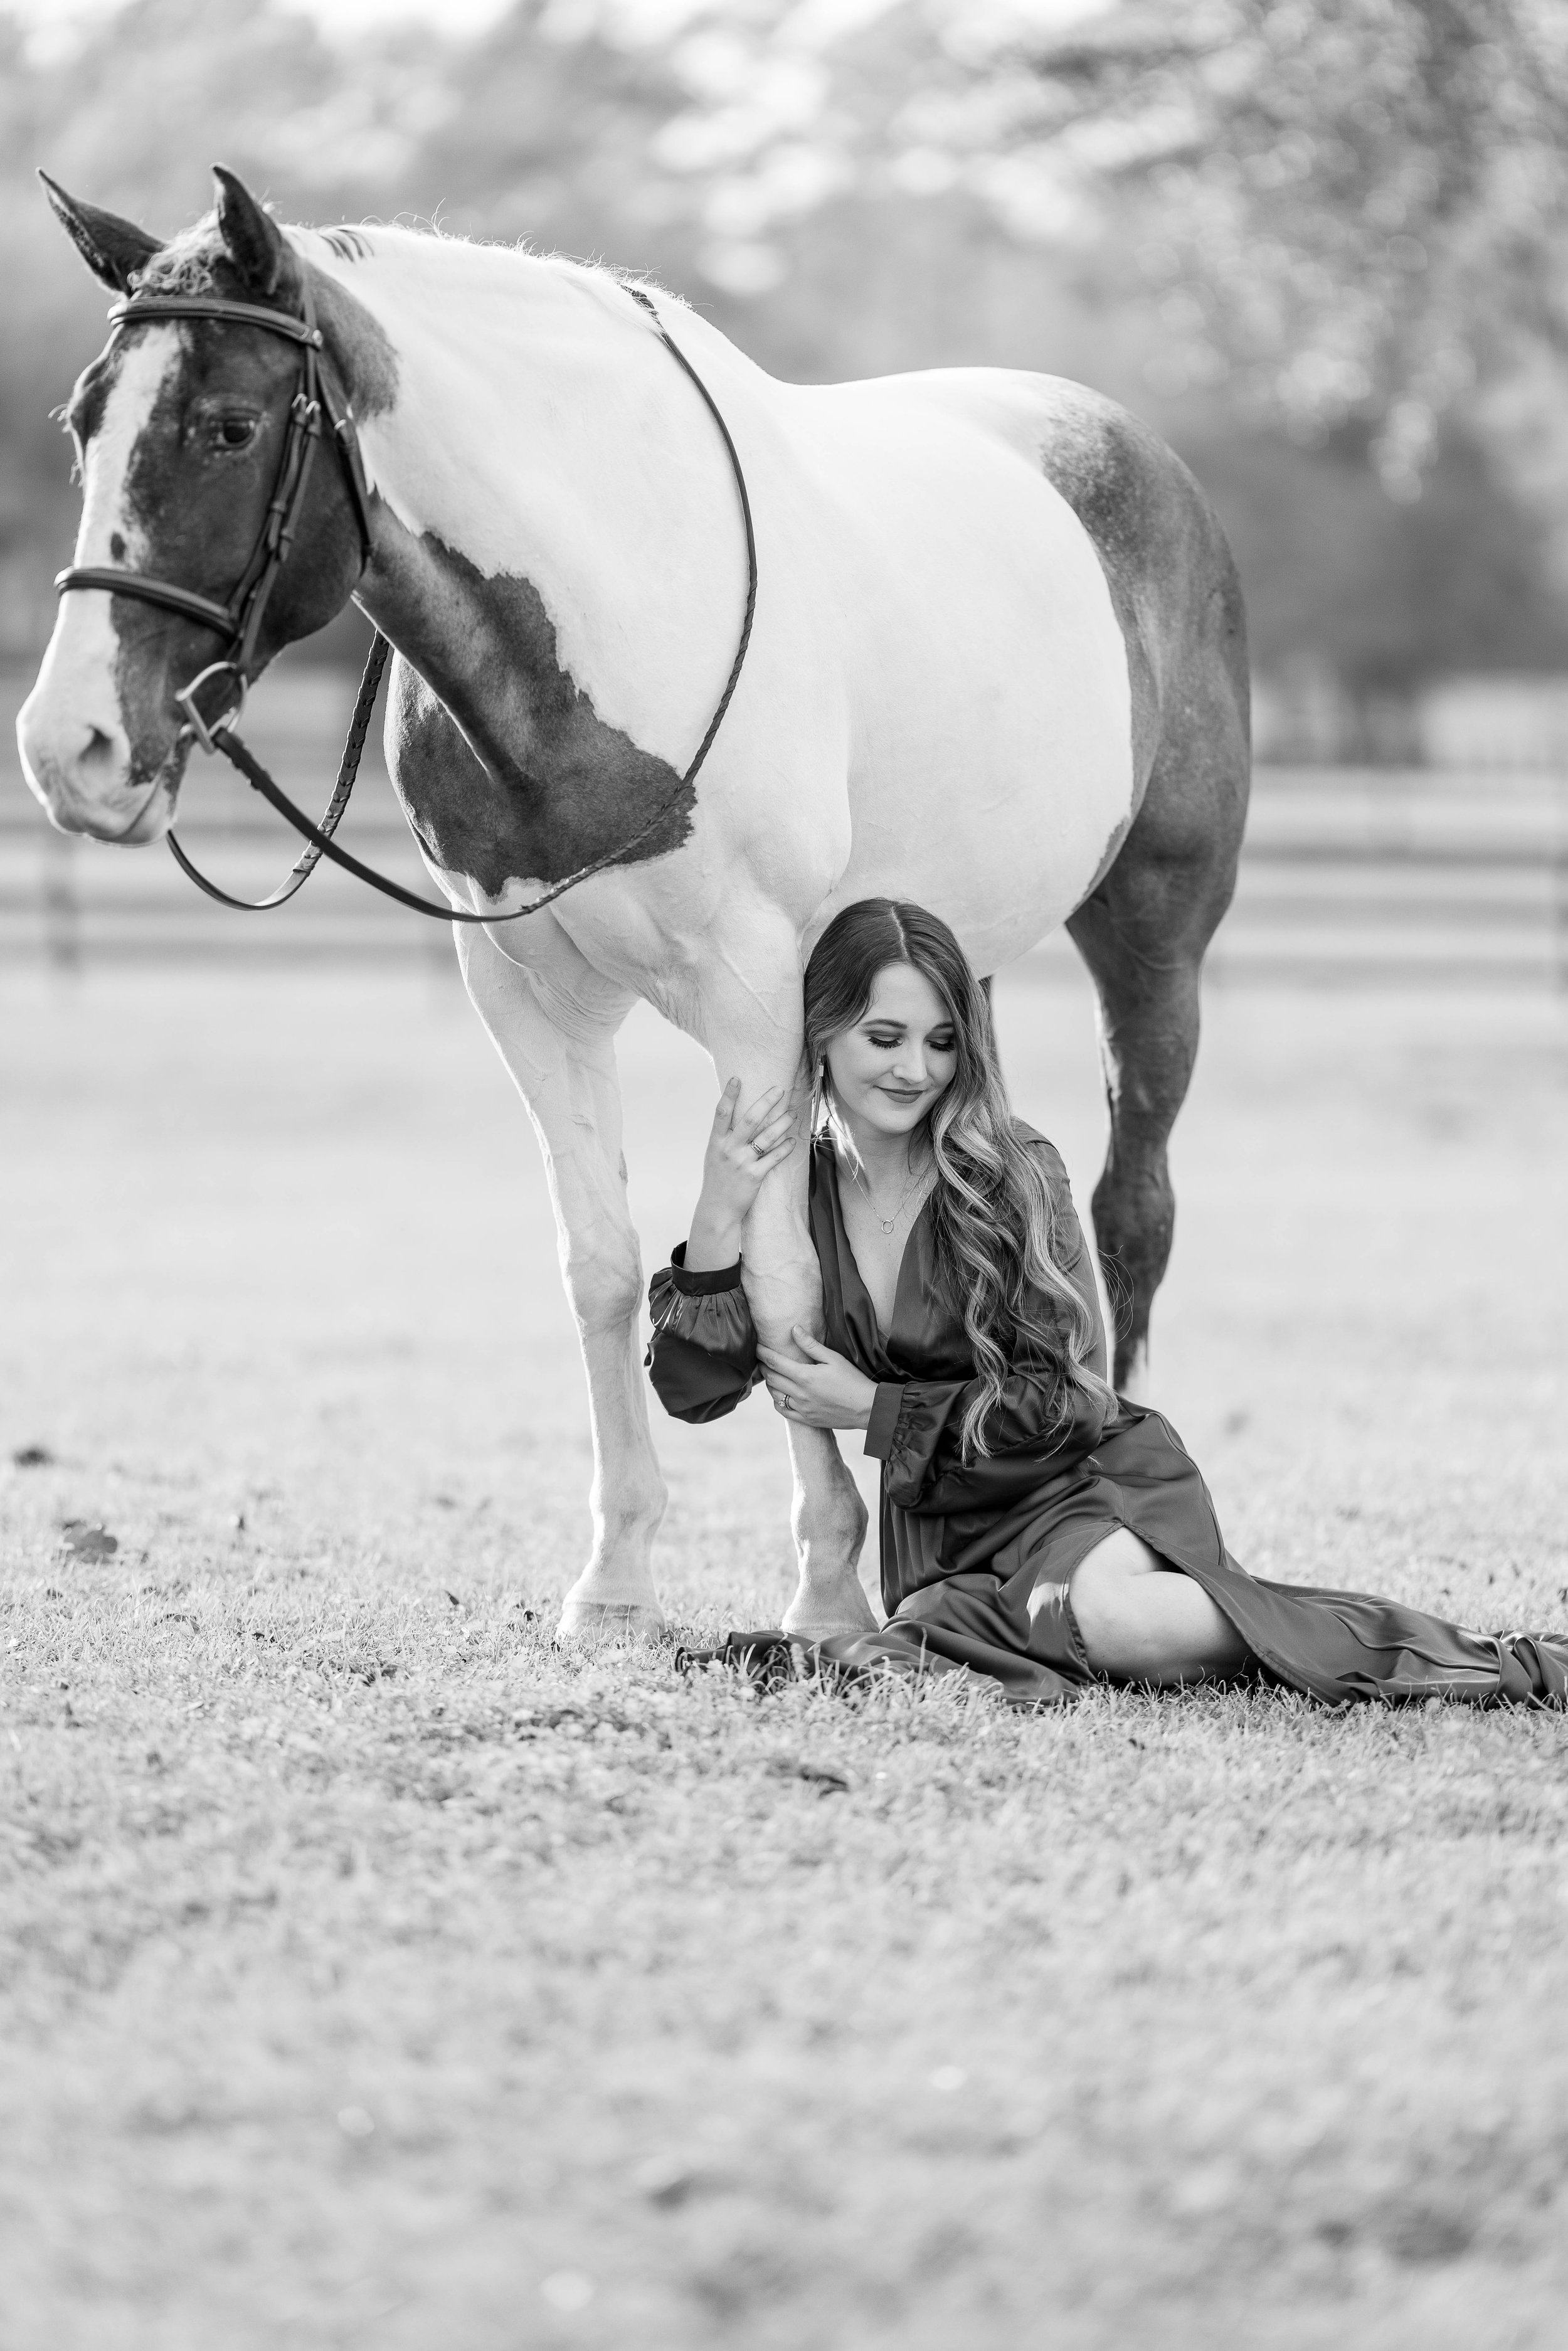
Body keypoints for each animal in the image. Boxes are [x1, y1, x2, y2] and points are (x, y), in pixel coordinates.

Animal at [15, 170, 1251, 1636]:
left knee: (1131, 1209)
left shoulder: (760, 995)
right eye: (84, 422)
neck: (600, 616)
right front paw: (615, 1581)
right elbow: (601, 1265)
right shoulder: (527, 992)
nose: (73, 746)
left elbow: (779, 1281)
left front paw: (825, 1587)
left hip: (1153, 936)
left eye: (229, 425)